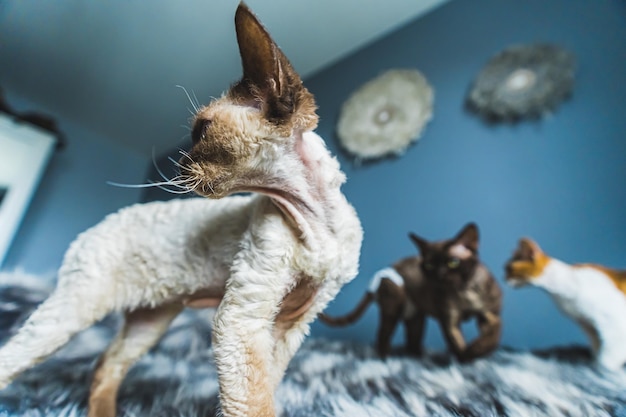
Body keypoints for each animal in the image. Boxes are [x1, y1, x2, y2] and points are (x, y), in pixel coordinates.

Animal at [322, 221, 502, 360]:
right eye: (429, 265)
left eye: (453, 262)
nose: (439, 275)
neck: (464, 293)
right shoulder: (450, 320)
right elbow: (456, 342)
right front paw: (464, 357)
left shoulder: (490, 315)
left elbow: (492, 337)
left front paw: (474, 352)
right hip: (393, 307)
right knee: (383, 336)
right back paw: (385, 358)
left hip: (415, 318)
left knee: (411, 341)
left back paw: (417, 356)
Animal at [504, 237, 624, 370]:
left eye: (508, 269)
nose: (504, 279)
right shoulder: (590, 327)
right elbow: (597, 352)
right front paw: (592, 366)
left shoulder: (616, 327)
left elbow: (605, 360)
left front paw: (601, 371)